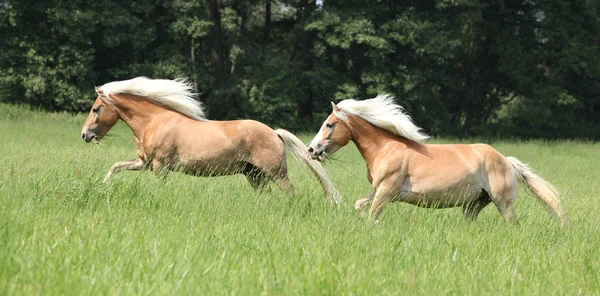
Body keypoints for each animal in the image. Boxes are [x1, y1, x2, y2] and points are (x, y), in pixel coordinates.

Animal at [81, 76, 342, 204]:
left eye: (95, 109)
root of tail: (274, 132)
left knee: (291, 193)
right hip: (254, 175)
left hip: (276, 174)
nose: (84, 134)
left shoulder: (159, 166)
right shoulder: (144, 162)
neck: (156, 121)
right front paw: (103, 185)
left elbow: (160, 187)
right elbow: (115, 167)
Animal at [310, 95, 568, 227]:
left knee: (512, 223)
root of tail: (506, 160)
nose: (312, 149)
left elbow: (373, 214)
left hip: (502, 202)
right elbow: (360, 205)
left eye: (330, 124)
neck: (386, 148)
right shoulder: (381, 191)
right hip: (475, 203)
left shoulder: (386, 191)